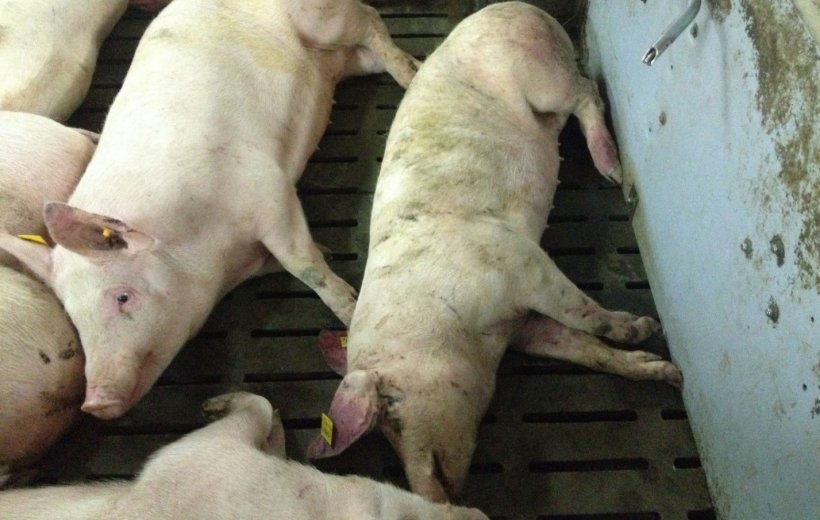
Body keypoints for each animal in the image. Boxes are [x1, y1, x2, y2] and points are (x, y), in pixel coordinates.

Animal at [306, 2, 683, 502]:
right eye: (384, 437)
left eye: (392, 411)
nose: (431, 496)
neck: (467, 330)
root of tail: (516, 8)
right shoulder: (522, 326)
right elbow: (580, 346)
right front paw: (664, 368)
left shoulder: (517, 261)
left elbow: (585, 315)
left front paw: (643, 327)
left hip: (542, 78)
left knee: (586, 90)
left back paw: (613, 172)